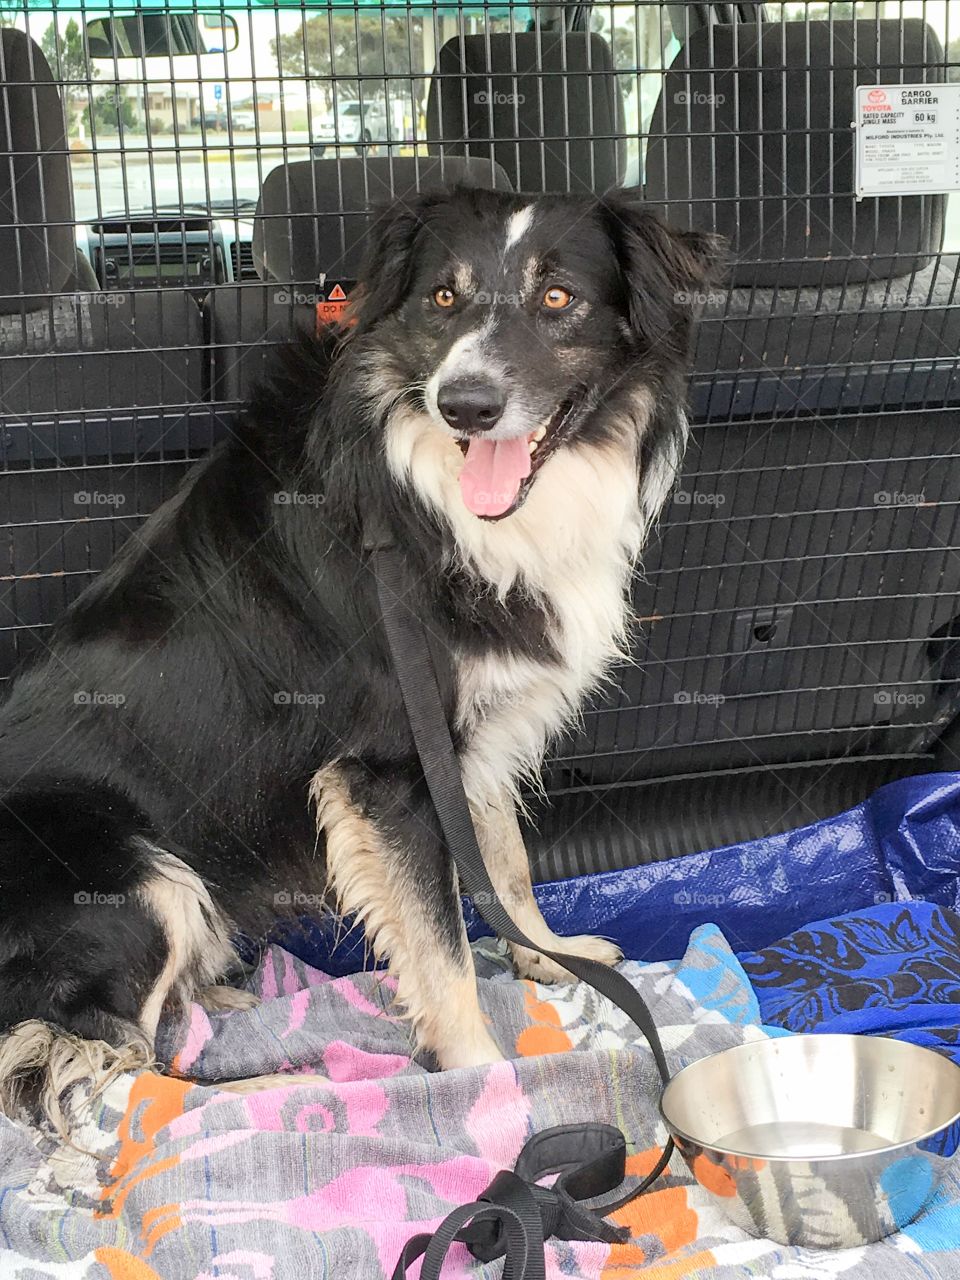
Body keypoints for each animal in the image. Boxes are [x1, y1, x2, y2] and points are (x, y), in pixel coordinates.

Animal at [0, 183, 716, 1111]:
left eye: (559, 298)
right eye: (443, 298)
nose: (466, 404)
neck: (431, 493)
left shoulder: (468, 740)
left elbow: (506, 865)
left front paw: (550, 958)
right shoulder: (388, 769)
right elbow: (440, 942)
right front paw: (483, 1075)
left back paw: (220, 998)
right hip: (136, 879)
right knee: (113, 1061)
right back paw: (273, 1089)